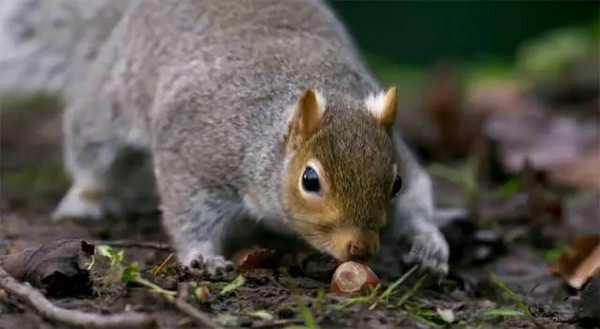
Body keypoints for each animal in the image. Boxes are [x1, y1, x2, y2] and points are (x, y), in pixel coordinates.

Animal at [51, 0, 448, 276]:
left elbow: (418, 197)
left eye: (395, 183)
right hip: (110, 103)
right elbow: (187, 210)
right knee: (90, 150)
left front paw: (430, 244)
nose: (361, 249)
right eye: (310, 180)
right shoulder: (199, 154)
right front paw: (203, 256)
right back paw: (85, 198)